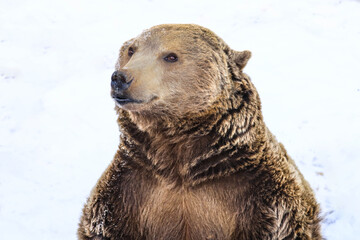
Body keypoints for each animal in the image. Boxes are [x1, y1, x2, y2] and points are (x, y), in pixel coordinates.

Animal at [78, 23, 320, 239]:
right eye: (131, 49)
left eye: (170, 56)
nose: (120, 78)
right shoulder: (129, 186)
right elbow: (103, 225)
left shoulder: (260, 195)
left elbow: (279, 225)